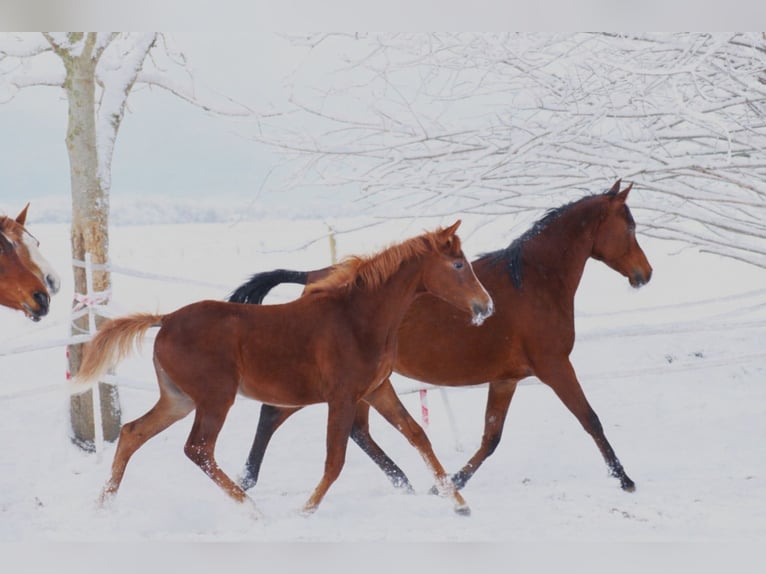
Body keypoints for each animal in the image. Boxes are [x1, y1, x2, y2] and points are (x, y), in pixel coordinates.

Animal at [73, 221, 493, 516]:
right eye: (458, 264)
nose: (486, 306)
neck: (357, 319)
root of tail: (165, 319)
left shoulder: (377, 389)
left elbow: (418, 436)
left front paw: (459, 503)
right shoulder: (342, 397)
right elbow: (335, 459)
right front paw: (305, 509)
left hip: (179, 400)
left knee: (132, 433)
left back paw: (103, 504)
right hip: (215, 398)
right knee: (198, 449)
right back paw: (252, 510)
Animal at [231, 180, 653, 495]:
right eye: (630, 227)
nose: (645, 274)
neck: (534, 282)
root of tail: (313, 278)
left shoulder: (506, 379)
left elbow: (491, 438)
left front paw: (447, 483)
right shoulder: (554, 366)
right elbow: (590, 419)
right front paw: (625, 479)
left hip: (364, 384)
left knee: (356, 430)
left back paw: (402, 482)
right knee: (276, 414)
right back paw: (247, 479)